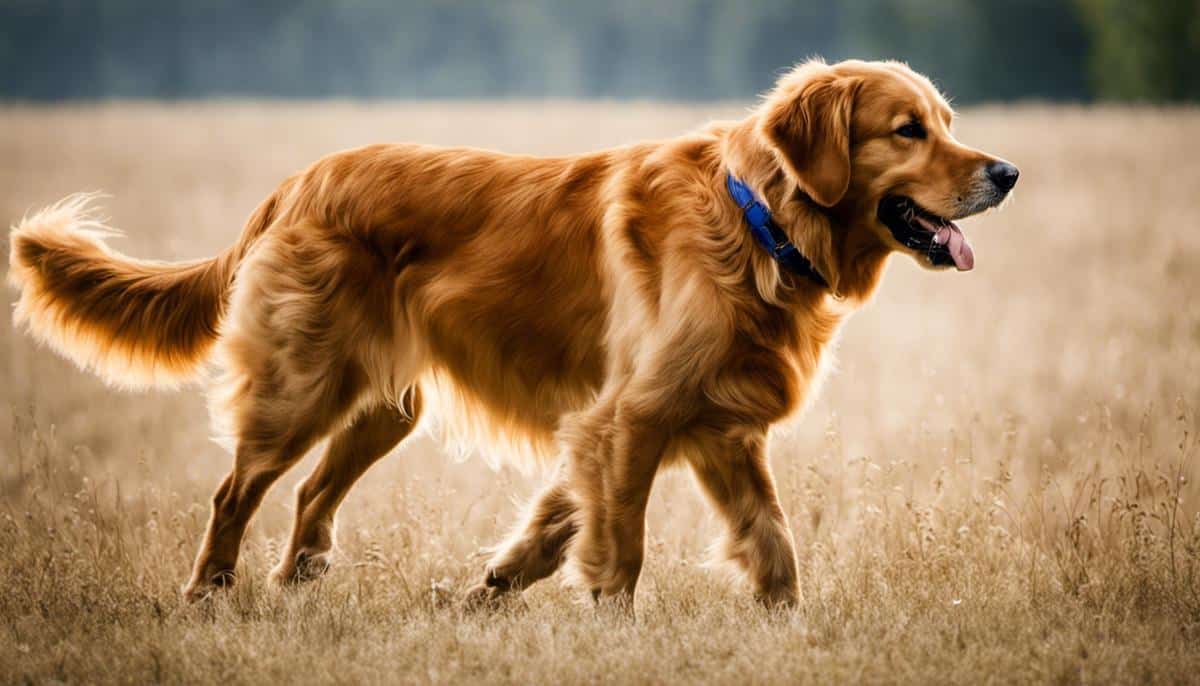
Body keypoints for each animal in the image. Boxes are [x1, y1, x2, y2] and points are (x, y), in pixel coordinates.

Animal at [7, 57, 1012, 604]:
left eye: (947, 123)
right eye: (908, 130)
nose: (1006, 172)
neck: (758, 222)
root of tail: (299, 179)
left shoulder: (712, 430)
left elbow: (769, 548)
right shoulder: (630, 418)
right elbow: (622, 551)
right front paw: (610, 629)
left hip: (387, 406)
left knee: (310, 496)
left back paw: (297, 582)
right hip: (302, 388)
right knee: (235, 492)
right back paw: (210, 592)